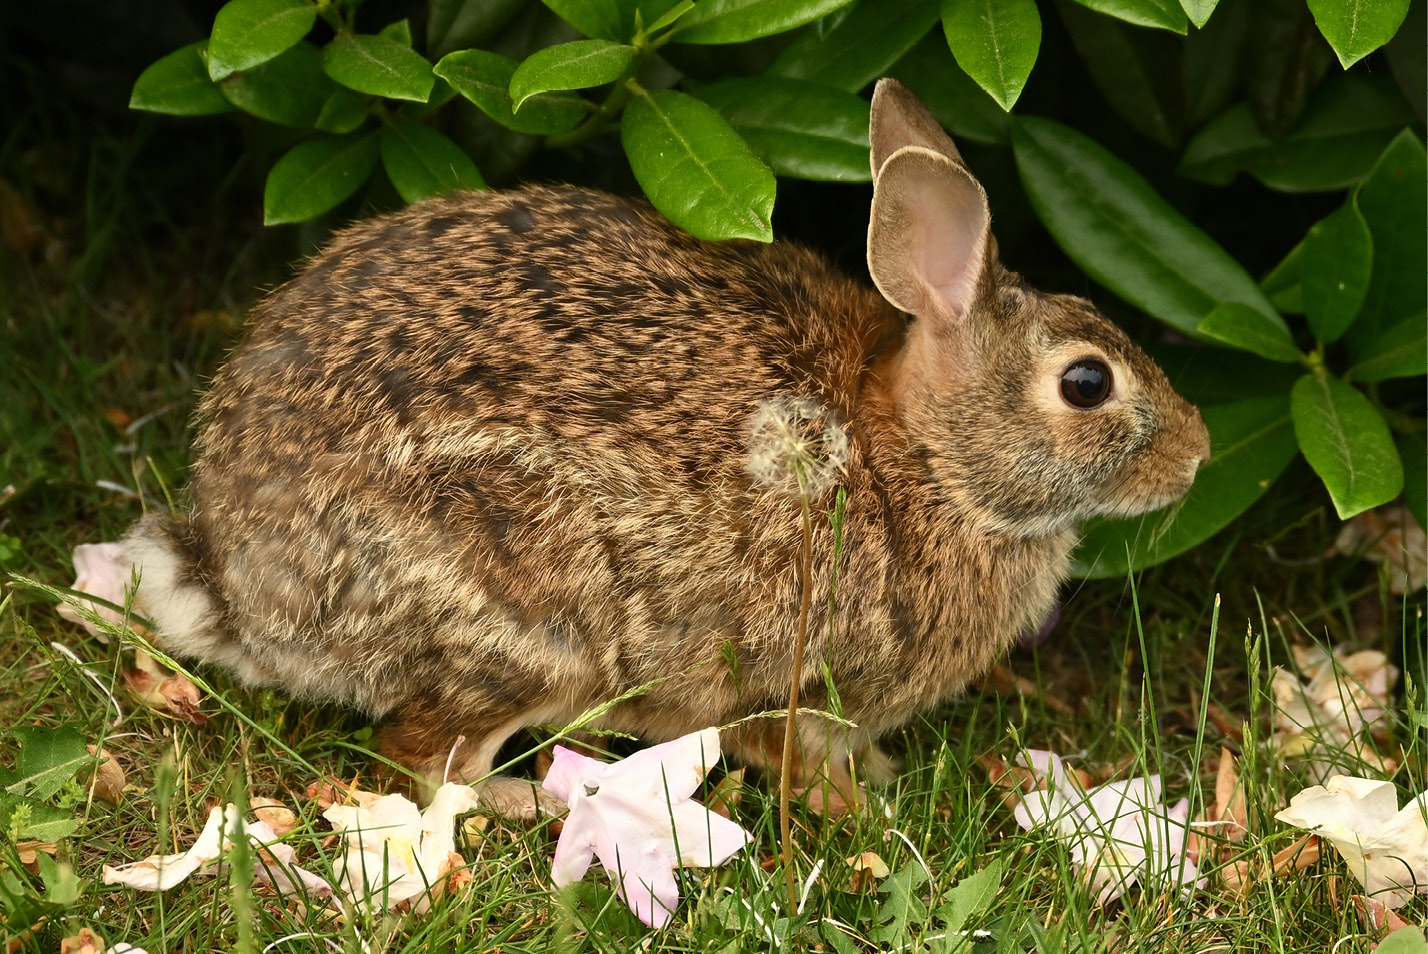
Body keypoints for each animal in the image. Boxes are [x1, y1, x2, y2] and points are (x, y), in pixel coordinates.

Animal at [117, 78, 1210, 816]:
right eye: (1086, 383)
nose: (1198, 455)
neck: (924, 462)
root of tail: (246, 586)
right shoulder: (792, 676)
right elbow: (786, 750)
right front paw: (865, 812)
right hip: (534, 628)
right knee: (418, 755)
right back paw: (534, 804)